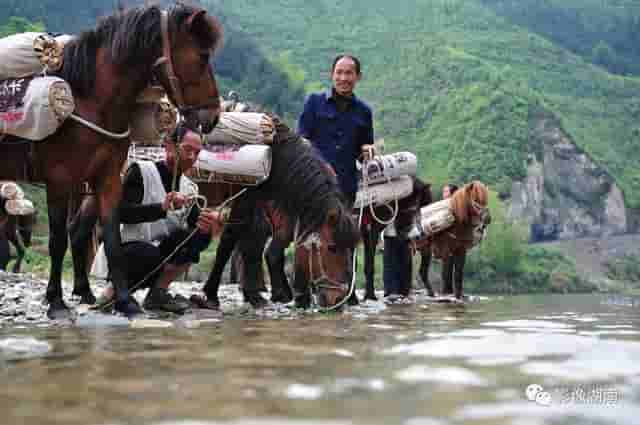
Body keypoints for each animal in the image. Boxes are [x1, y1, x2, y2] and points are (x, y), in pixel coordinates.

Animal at [0, 2, 224, 314]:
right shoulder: (58, 180)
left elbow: (112, 238)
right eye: (202, 56)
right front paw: (55, 300)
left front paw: (125, 300)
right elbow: (57, 241)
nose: (213, 116)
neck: (90, 102)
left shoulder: (107, 178)